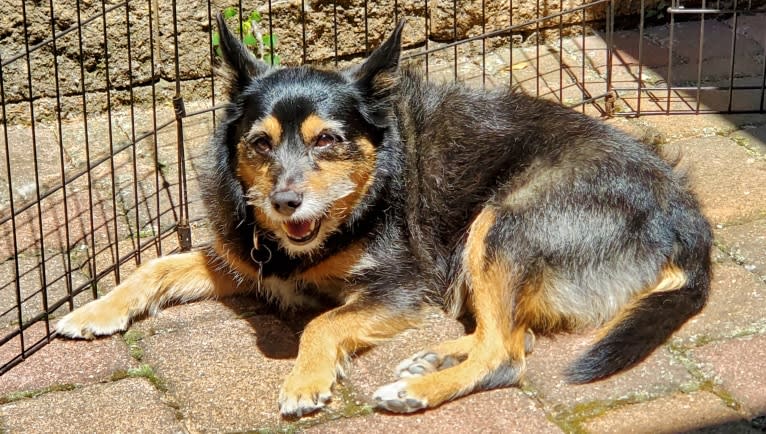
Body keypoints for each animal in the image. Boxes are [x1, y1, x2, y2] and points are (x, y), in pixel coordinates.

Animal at [57, 16, 716, 418]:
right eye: (260, 143)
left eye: (328, 141)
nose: (284, 204)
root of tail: (687, 216)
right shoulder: (246, 257)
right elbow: (155, 266)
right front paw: (94, 310)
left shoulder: (401, 284)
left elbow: (322, 325)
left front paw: (305, 380)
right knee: (507, 335)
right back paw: (433, 358)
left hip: (500, 225)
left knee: (506, 355)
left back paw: (415, 390)